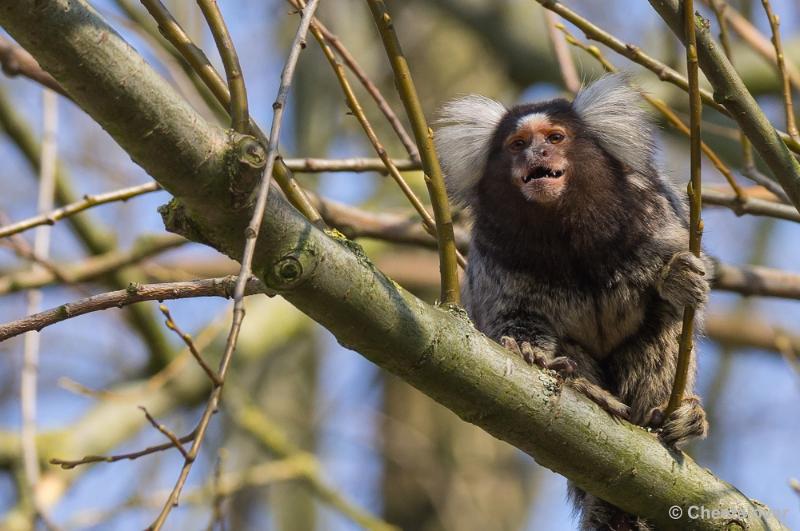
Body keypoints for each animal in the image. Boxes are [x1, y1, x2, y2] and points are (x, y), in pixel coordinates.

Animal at [434, 75, 708, 531]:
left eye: (554, 138)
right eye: (517, 144)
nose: (536, 155)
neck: (564, 230)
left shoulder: (651, 212)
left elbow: (673, 292)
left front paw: (676, 278)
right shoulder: (493, 255)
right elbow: (510, 319)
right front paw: (529, 351)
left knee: (662, 335)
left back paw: (673, 417)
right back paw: (586, 388)